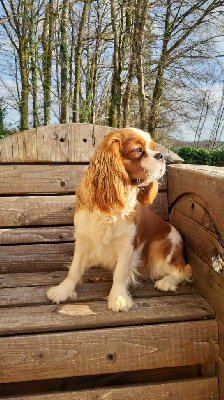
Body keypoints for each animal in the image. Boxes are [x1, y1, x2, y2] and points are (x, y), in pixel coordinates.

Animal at [46, 130, 191, 310]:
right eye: (138, 150)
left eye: (152, 148)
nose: (162, 155)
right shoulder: (83, 239)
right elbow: (74, 269)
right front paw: (63, 290)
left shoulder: (127, 245)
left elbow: (120, 273)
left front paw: (118, 297)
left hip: (161, 249)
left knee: (183, 270)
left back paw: (167, 282)